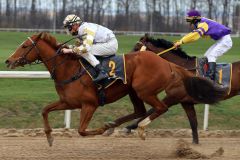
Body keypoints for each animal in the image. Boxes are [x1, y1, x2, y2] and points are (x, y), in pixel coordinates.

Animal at [5, 31, 226, 146]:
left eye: (24, 46)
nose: (8, 60)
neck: (68, 69)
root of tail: (168, 63)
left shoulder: (90, 104)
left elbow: (82, 131)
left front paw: (101, 129)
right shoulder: (68, 102)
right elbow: (44, 110)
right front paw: (50, 137)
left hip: (144, 90)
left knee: (159, 108)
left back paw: (140, 128)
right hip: (134, 91)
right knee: (140, 110)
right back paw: (118, 125)